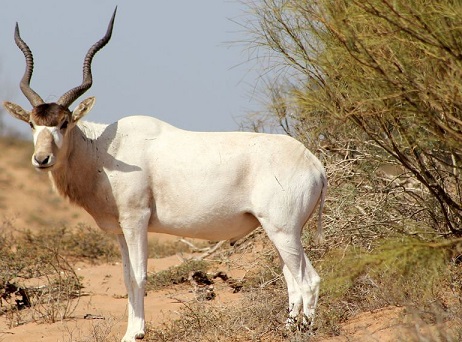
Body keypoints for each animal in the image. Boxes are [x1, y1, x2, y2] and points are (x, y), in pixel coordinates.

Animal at [4, 8, 328, 342]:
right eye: (32, 123)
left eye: (65, 122)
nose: (42, 159)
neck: (104, 150)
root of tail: (314, 164)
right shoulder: (120, 230)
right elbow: (126, 277)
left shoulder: (136, 220)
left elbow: (139, 275)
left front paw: (136, 334)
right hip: (279, 231)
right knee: (290, 277)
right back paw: (288, 327)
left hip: (283, 230)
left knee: (308, 279)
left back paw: (303, 329)